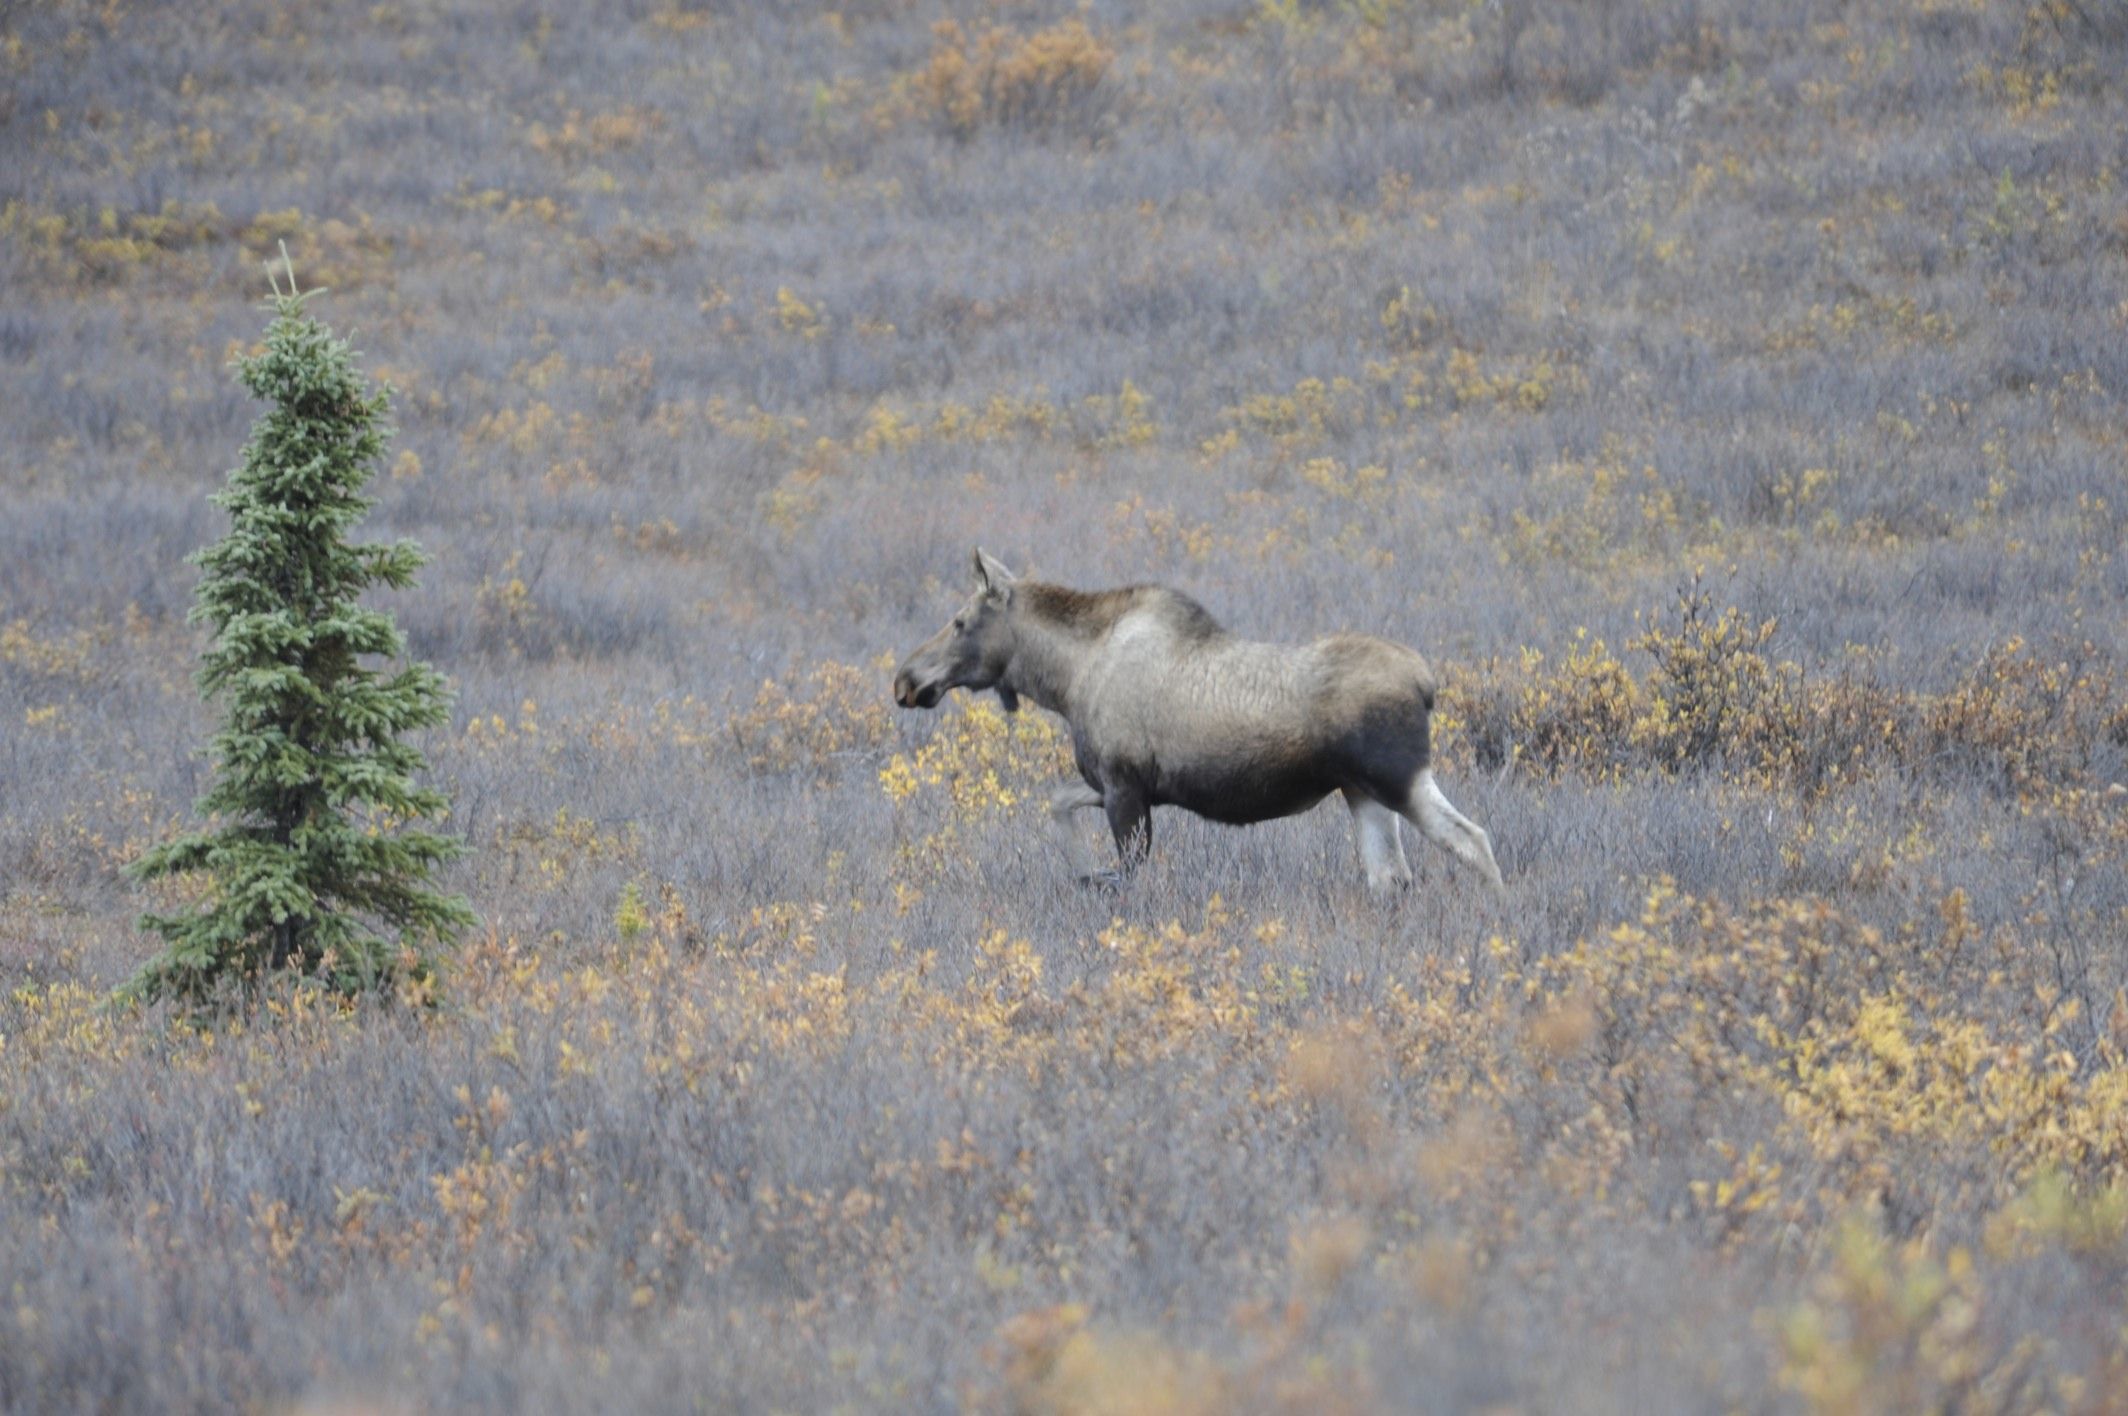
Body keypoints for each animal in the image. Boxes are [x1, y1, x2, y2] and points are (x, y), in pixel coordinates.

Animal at [889, 553, 1506, 894]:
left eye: (960, 621)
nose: (905, 678)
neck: (1063, 681)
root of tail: (1426, 681)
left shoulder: (1124, 787)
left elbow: (1129, 869)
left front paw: (1094, 876)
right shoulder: (1117, 784)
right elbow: (1058, 802)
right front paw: (1085, 871)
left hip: (1397, 777)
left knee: (1471, 838)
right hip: (1362, 791)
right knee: (1390, 876)